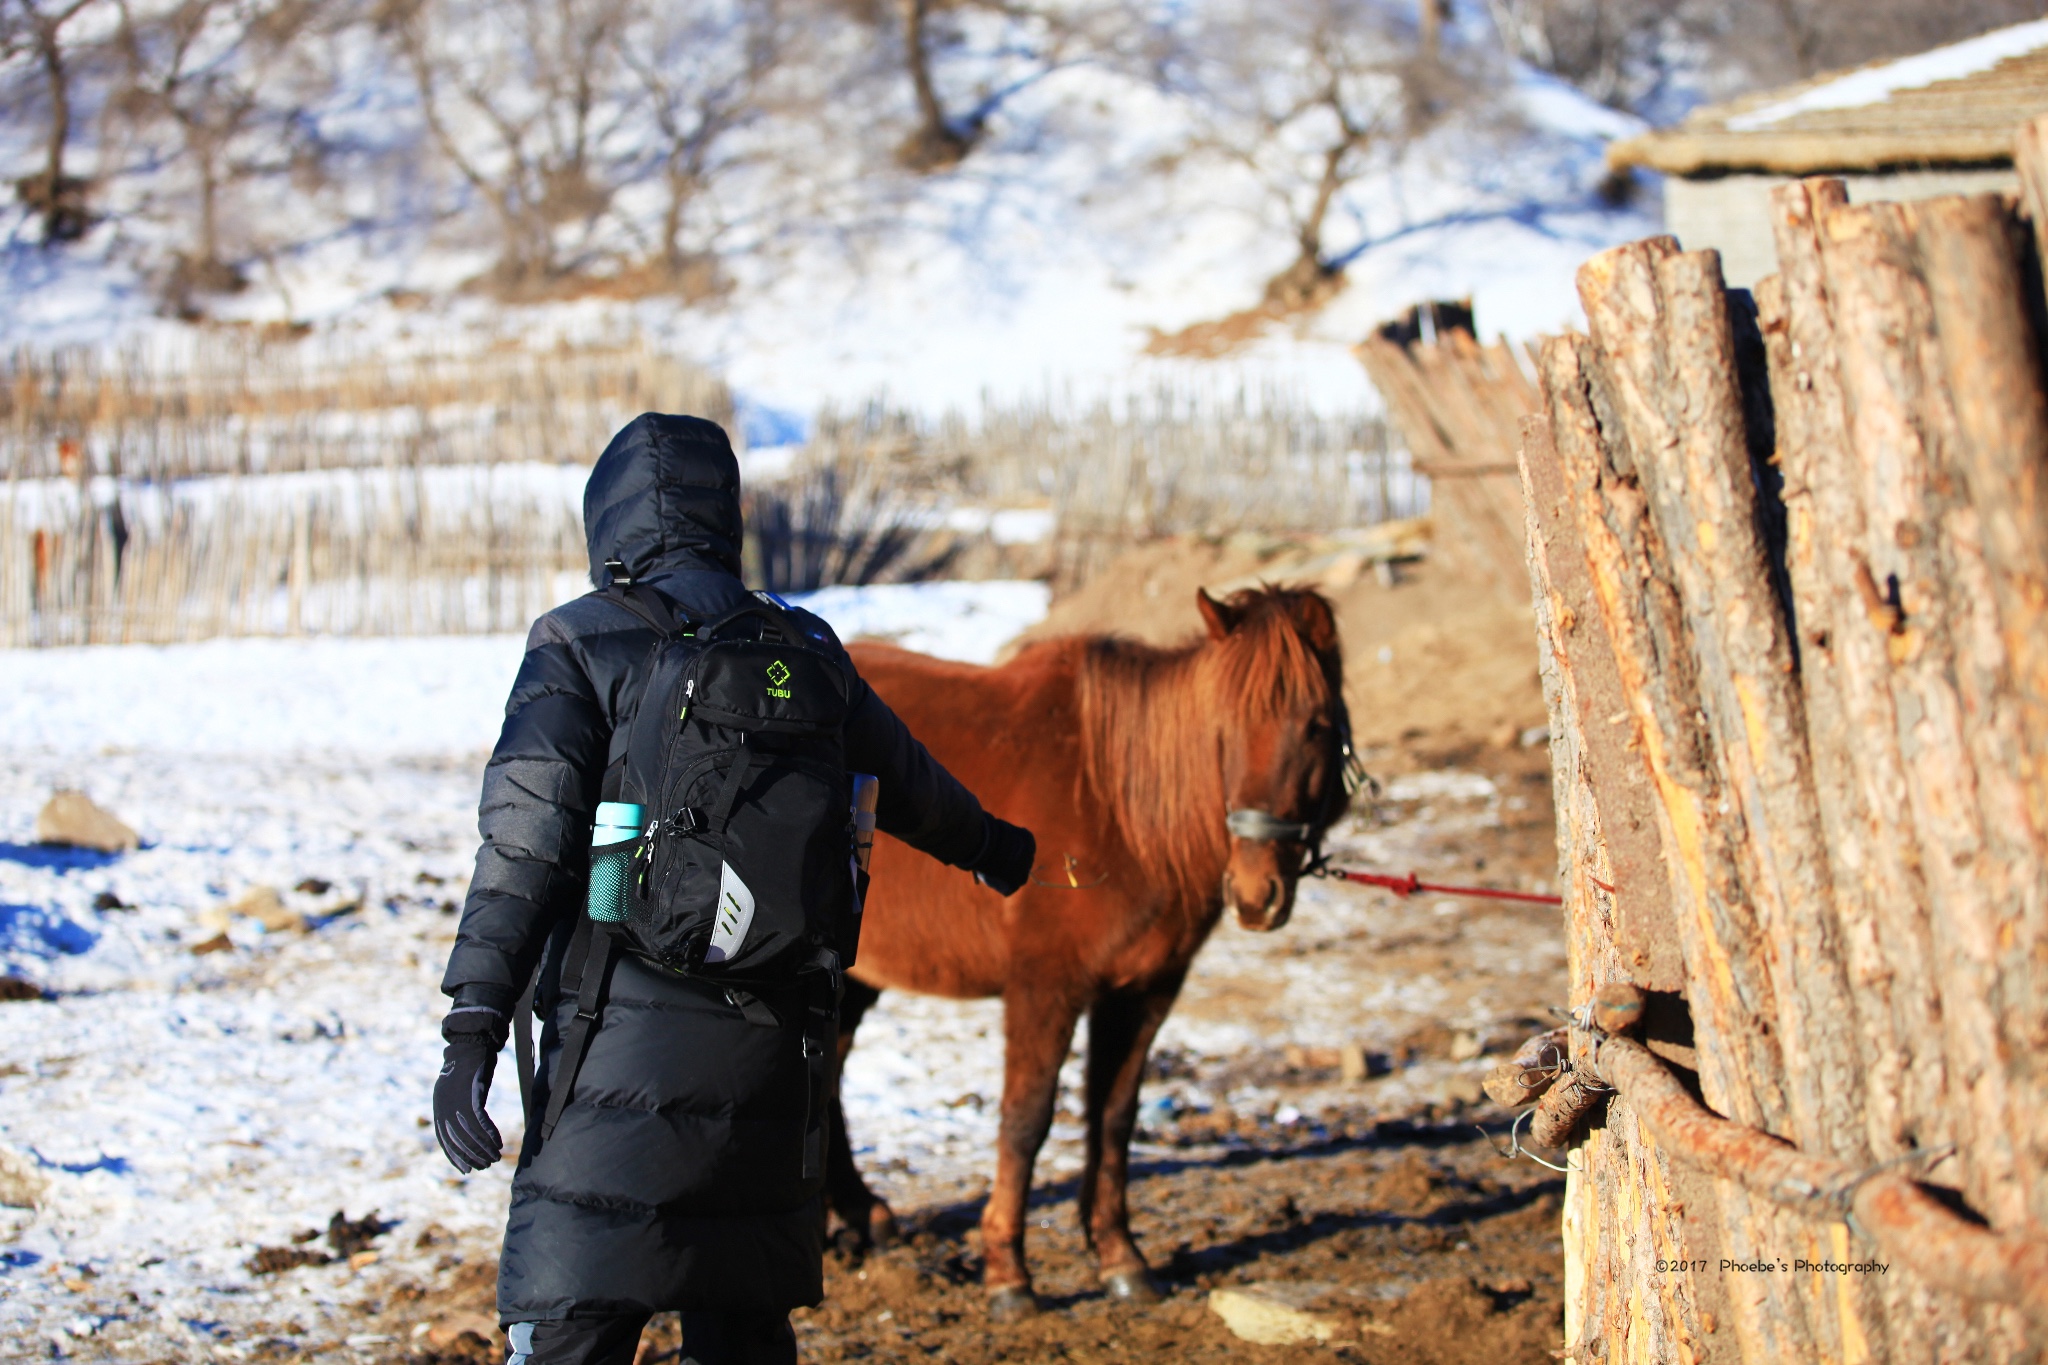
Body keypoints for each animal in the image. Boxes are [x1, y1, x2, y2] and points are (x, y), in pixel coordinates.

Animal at [823, 581, 1351, 1317]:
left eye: (1318, 726)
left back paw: (860, 1216)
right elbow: (1026, 1120)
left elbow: (1114, 1117)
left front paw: (1122, 1259)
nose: (1256, 894)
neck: (1116, 806)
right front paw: (1008, 1273)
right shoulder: (1046, 988)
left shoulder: (1146, 991)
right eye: (1223, 728)